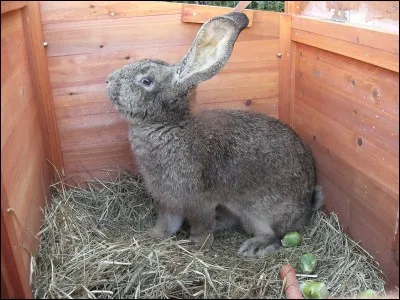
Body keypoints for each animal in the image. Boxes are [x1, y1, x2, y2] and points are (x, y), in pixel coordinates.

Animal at [104, 12, 324, 258]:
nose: (108, 80)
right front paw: (155, 235)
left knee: (276, 235)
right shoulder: (168, 200)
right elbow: (168, 222)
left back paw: (254, 246)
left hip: (259, 212)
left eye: (146, 81)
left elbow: (200, 224)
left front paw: (198, 245)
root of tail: (305, 209)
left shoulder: (198, 200)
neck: (171, 123)